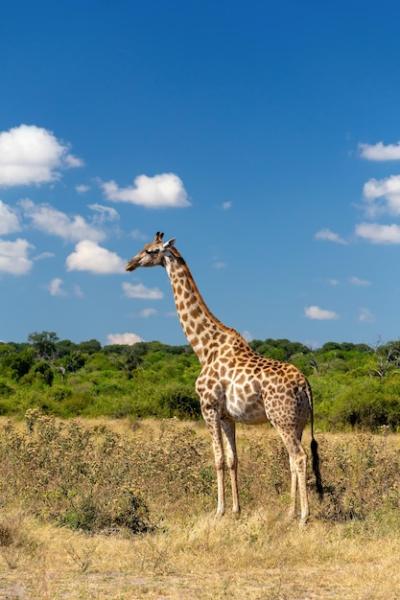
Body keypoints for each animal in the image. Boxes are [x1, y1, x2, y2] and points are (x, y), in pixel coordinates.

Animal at [126, 232, 324, 524]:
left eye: (150, 251)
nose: (129, 263)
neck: (204, 347)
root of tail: (305, 385)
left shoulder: (208, 407)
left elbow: (217, 459)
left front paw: (218, 510)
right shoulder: (227, 416)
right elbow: (233, 459)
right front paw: (236, 509)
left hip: (282, 419)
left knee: (299, 457)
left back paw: (303, 517)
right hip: (297, 421)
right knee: (292, 459)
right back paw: (290, 512)